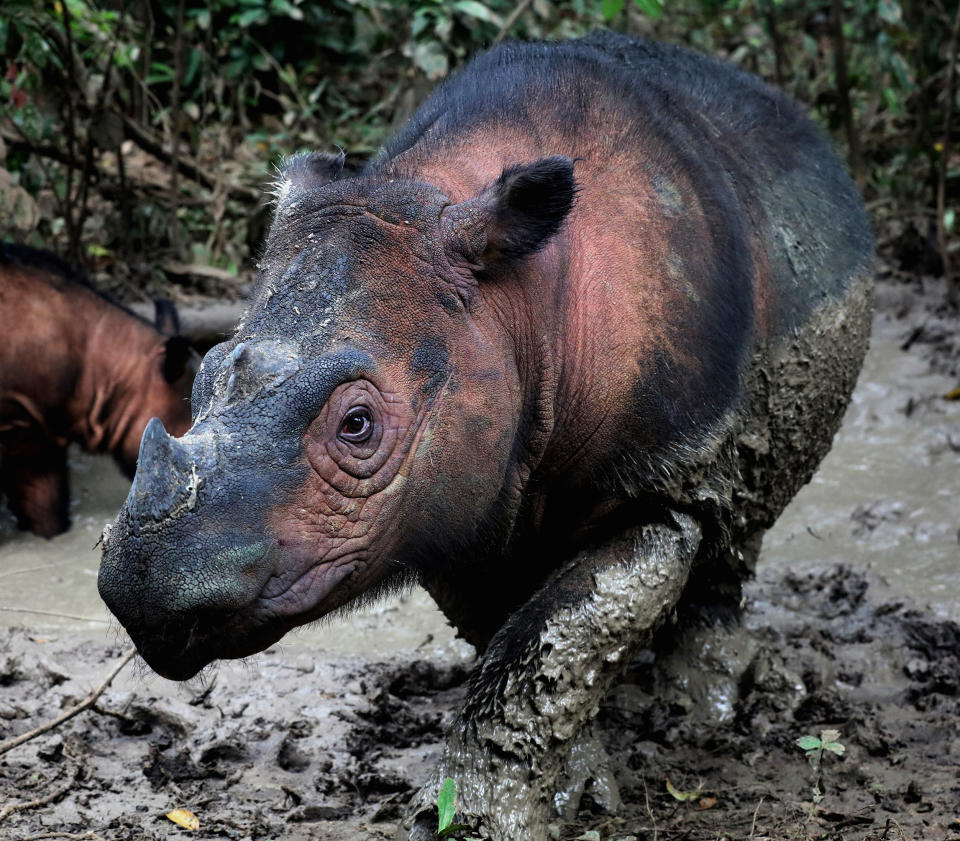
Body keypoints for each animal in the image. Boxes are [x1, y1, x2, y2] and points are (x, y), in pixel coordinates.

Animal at [95, 31, 872, 832]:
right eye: (206, 378)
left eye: (357, 426)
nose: (145, 590)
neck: (514, 307)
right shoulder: (447, 499)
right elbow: (529, 646)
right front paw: (567, 784)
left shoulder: (656, 473)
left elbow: (548, 636)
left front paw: (478, 821)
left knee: (736, 508)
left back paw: (705, 710)